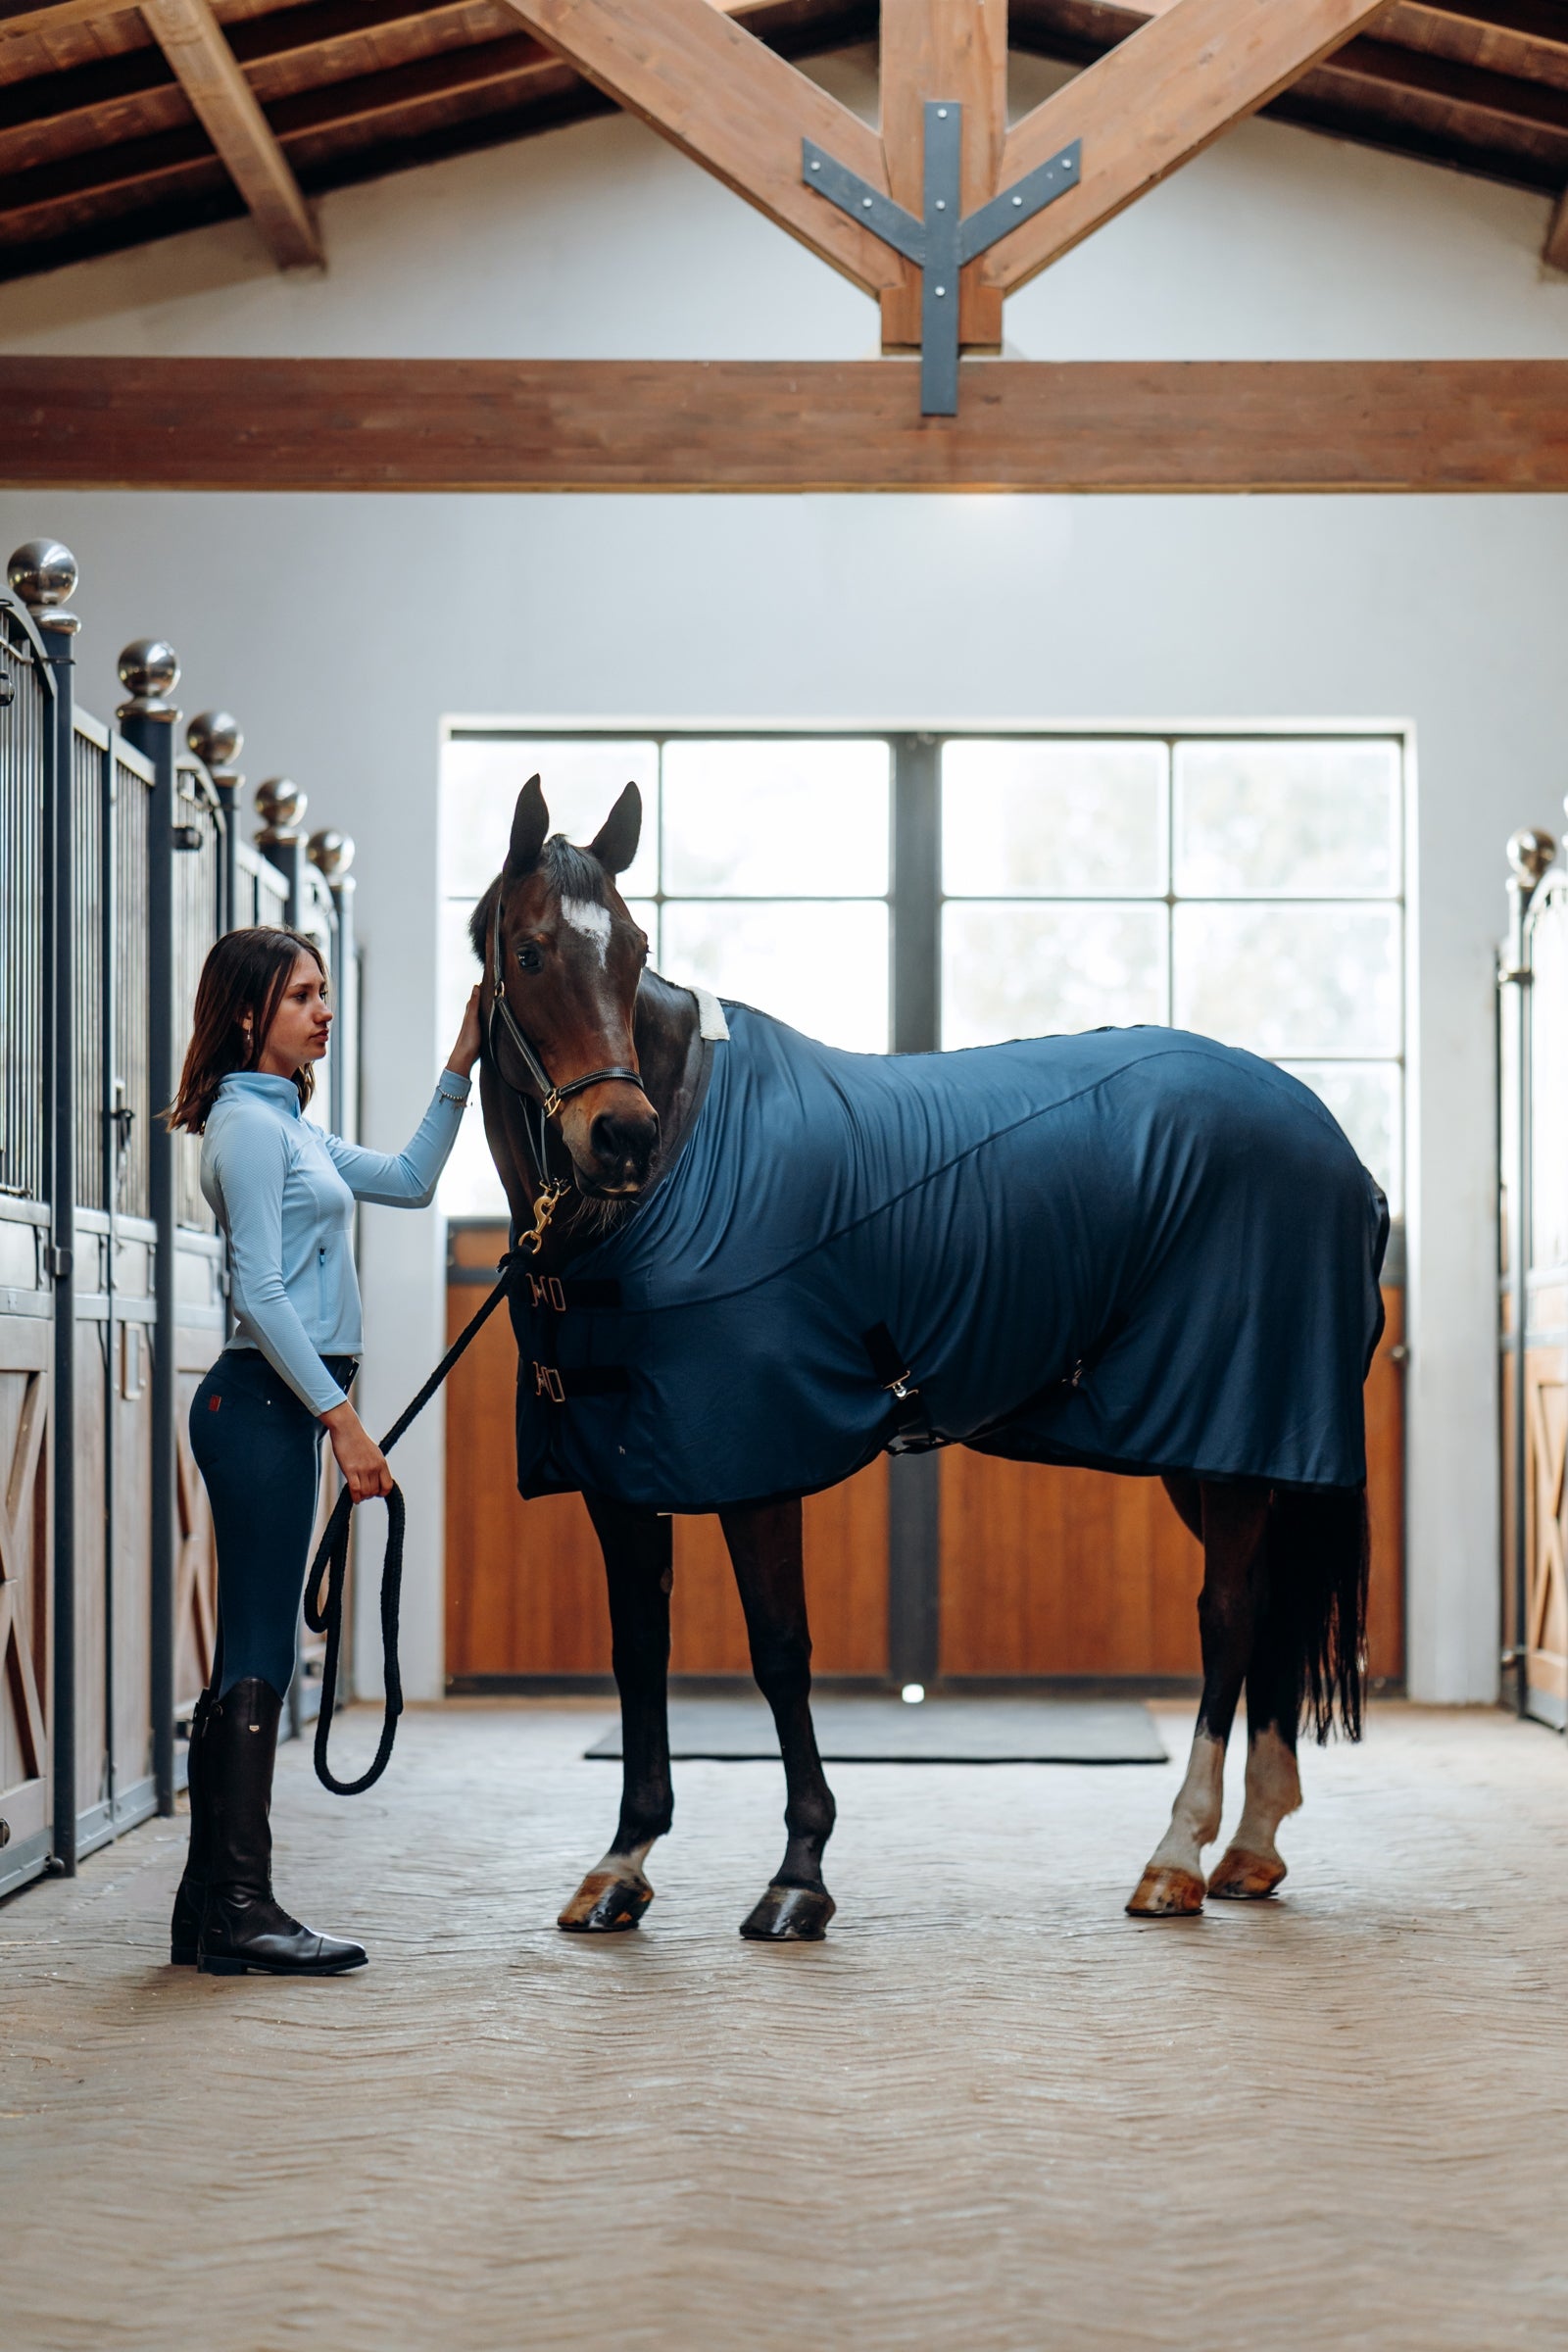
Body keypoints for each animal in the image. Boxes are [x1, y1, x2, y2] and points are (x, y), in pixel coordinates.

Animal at [469, 775, 1386, 1939]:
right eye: (532, 951)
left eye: (632, 949)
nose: (619, 1137)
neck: (675, 1168)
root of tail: (1332, 1140)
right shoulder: (617, 1471)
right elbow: (640, 1652)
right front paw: (621, 1865)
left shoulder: (756, 1461)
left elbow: (781, 1654)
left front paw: (798, 1875)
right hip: (1226, 1450)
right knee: (1264, 1610)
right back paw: (1250, 1851)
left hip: (1226, 1437)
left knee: (1225, 1619)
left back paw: (1175, 1857)